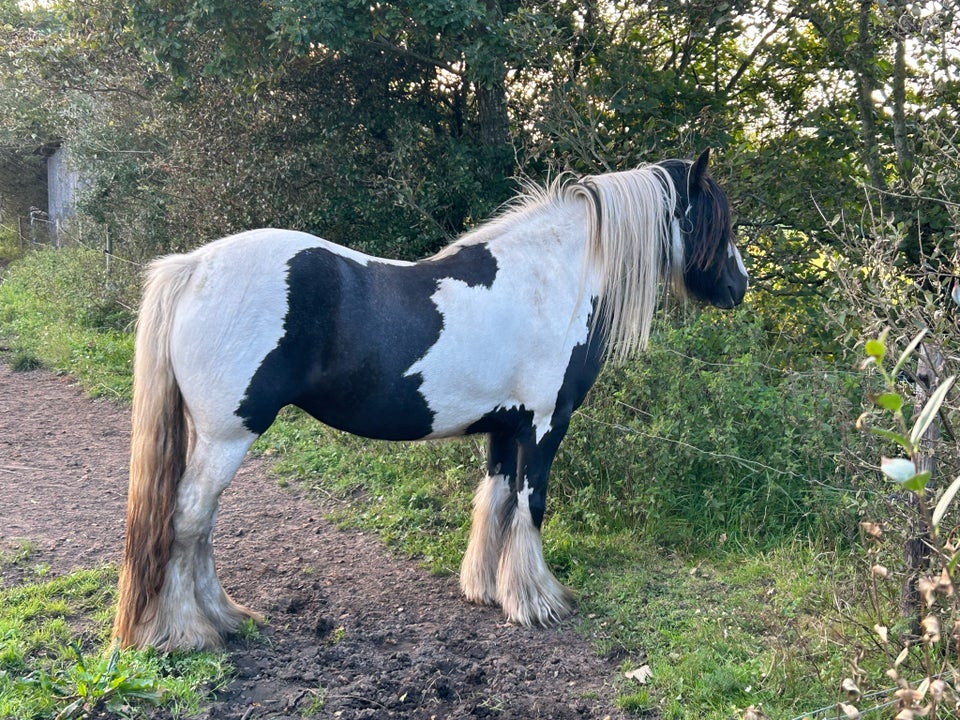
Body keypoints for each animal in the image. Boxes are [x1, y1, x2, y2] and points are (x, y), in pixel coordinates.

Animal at [114, 150, 752, 652]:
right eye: (716, 221)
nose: (739, 287)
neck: (551, 280)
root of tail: (193, 266)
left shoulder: (506, 427)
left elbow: (496, 501)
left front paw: (489, 590)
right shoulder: (545, 425)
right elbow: (532, 505)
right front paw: (538, 601)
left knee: (200, 524)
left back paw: (224, 618)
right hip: (228, 434)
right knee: (189, 518)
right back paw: (189, 632)